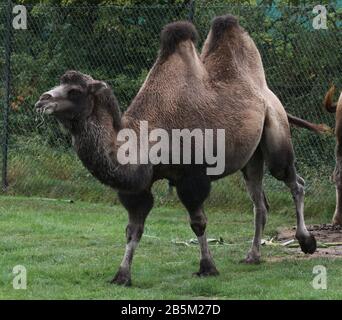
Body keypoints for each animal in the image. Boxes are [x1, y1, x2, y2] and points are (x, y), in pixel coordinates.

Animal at [36, 15, 316, 284]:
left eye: (75, 91)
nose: (42, 100)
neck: (148, 138)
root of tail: (268, 93)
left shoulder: (192, 177)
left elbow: (198, 223)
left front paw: (207, 267)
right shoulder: (138, 187)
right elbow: (133, 229)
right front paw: (122, 275)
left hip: (276, 132)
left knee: (294, 181)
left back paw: (306, 241)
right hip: (251, 158)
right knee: (259, 202)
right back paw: (252, 256)